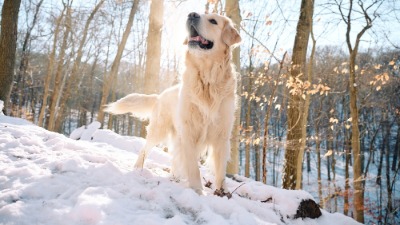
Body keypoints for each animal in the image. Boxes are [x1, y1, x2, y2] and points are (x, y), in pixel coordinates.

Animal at [104, 12, 241, 194]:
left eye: (213, 21)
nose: (192, 14)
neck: (207, 80)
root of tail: (159, 95)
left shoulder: (221, 135)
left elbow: (220, 172)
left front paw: (222, 193)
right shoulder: (189, 133)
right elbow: (193, 168)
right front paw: (197, 191)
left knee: (175, 159)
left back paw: (175, 177)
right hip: (159, 130)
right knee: (144, 149)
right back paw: (138, 169)